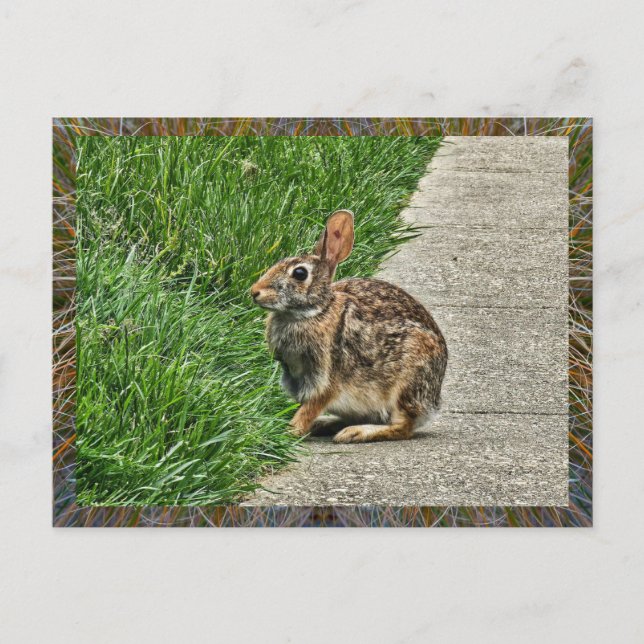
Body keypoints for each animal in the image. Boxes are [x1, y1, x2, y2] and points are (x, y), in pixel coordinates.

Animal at [250, 210, 447, 443]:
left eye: (299, 274)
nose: (254, 291)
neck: (317, 310)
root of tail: (433, 403)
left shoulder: (325, 379)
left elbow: (309, 409)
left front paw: (289, 432)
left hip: (407, 380)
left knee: (403, 427)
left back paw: (355, 432)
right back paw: (326, 424)